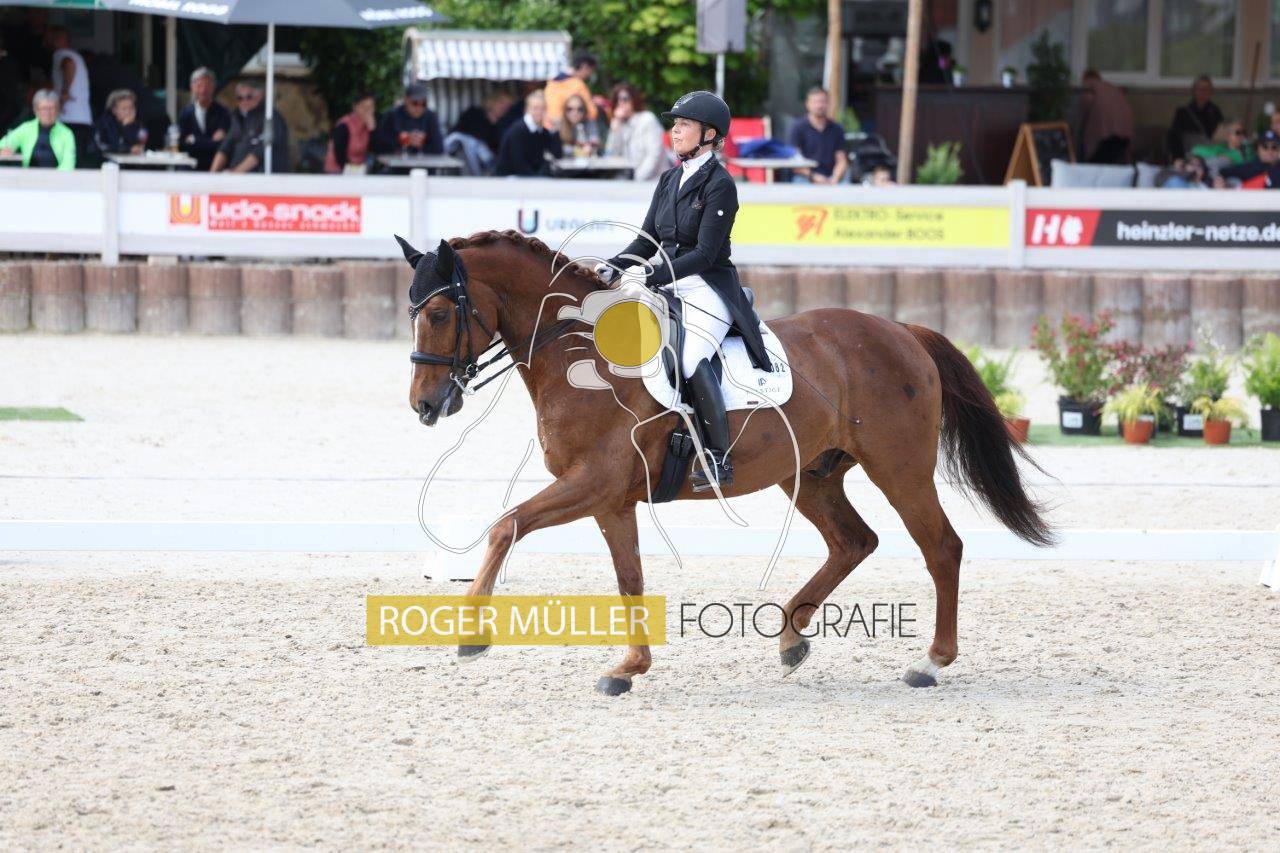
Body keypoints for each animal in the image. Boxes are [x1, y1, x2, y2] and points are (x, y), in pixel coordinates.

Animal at [402, 229, 1054, 695]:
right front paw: (628, 667)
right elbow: (629, 577)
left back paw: (931, 663)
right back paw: (791, 638)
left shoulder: (592, 483)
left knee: (941, 547)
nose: (425, 406)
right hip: (809, 476)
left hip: (900, 468)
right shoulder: (609, 498)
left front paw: (471, 637)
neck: (578, 354)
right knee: (854, 542)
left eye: (438, 315)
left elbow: (506, 525)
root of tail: (901, 330)